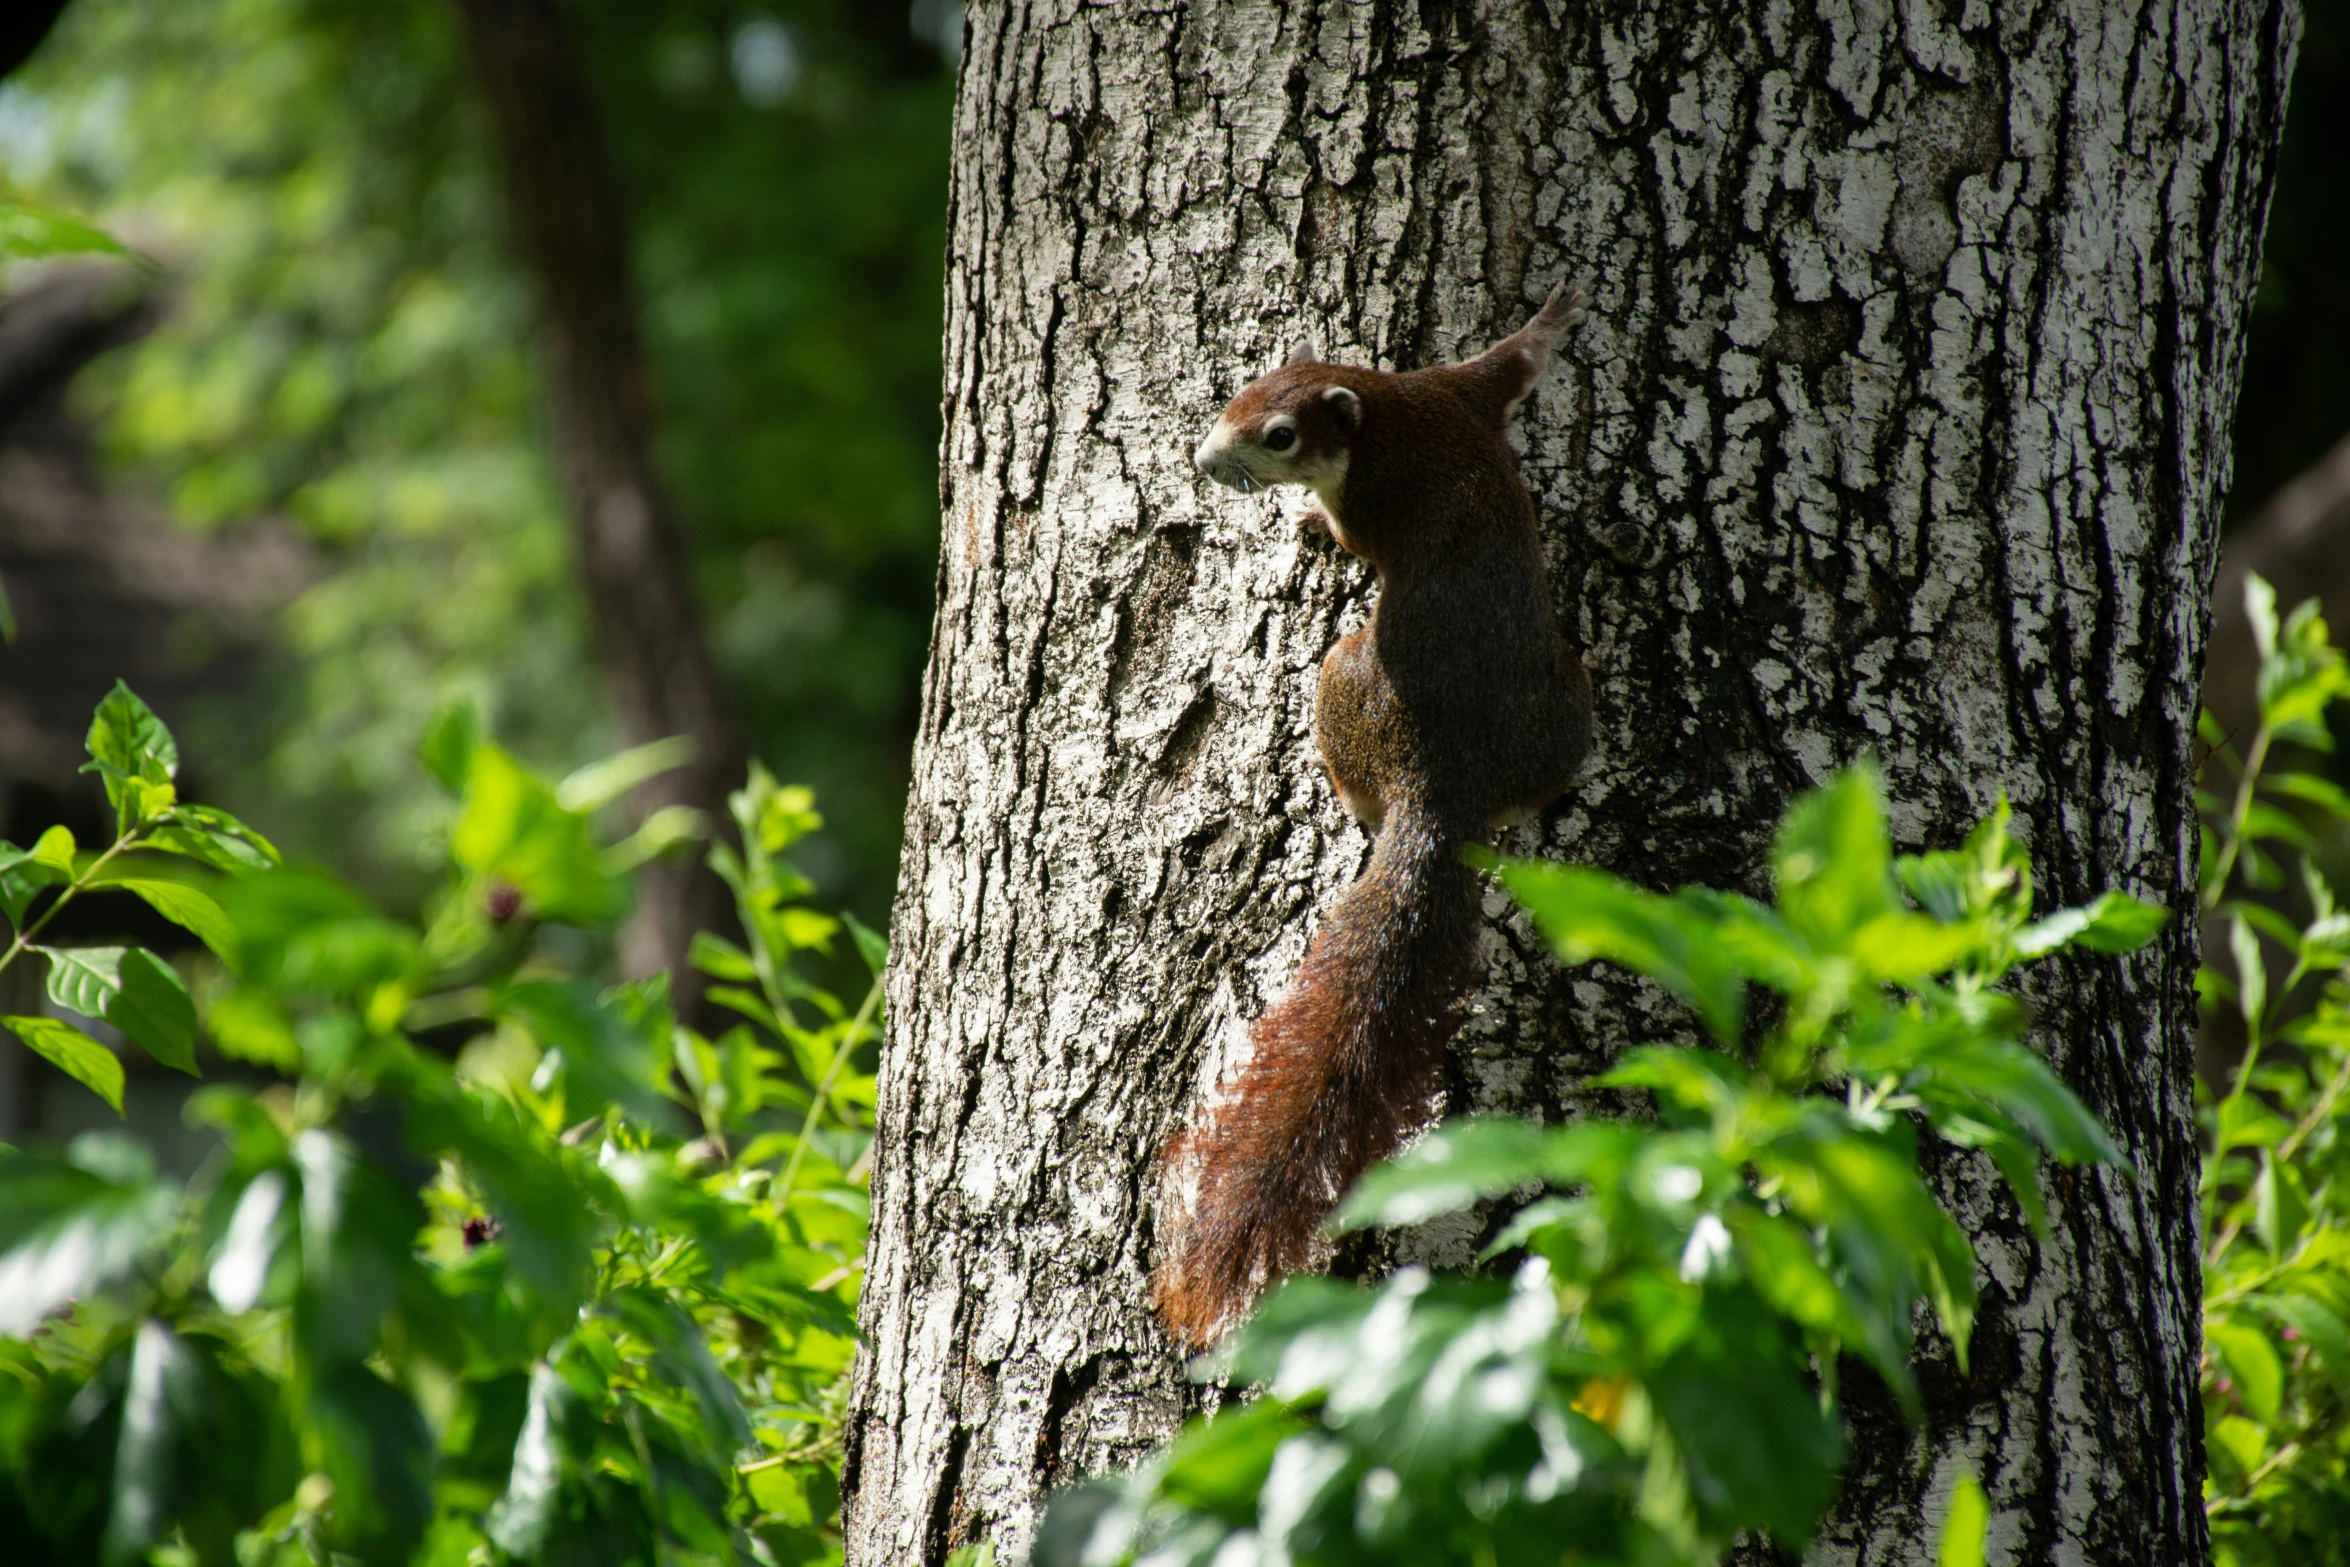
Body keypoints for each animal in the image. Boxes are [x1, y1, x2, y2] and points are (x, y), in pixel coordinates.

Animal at [1156, 285, 1597, 1353]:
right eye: (1236, 393)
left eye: (1277, 434)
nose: (1205, 460)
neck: (1392, 411)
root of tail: (1444, 786)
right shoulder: (1462, 390)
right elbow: (1514, 361)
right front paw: (1557, 314)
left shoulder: (1380, 487)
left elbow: (1351, 537)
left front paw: (1306, 526)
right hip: (1563, 714)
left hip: (1342, 681)